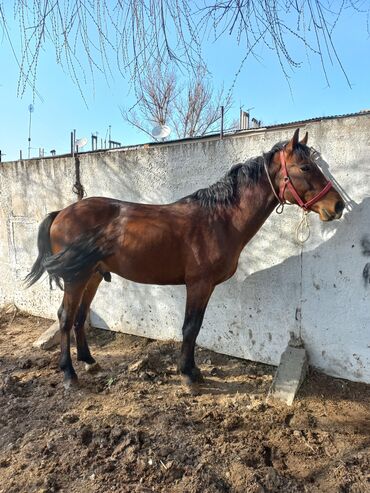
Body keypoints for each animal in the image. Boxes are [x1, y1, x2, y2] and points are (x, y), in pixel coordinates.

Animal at [26, 130, 344, 388]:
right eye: (305, 167)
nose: (338, 205)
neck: (220, 219)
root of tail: (62, 211)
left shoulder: (205, 287)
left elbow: (196, 326)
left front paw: (192, 370)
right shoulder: (198, 284)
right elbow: (190, 328)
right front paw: (189, 375)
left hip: (91, 275)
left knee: (80, 317)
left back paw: (89, 362)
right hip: (76, 278)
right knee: (65, 317)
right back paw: (69, 374)